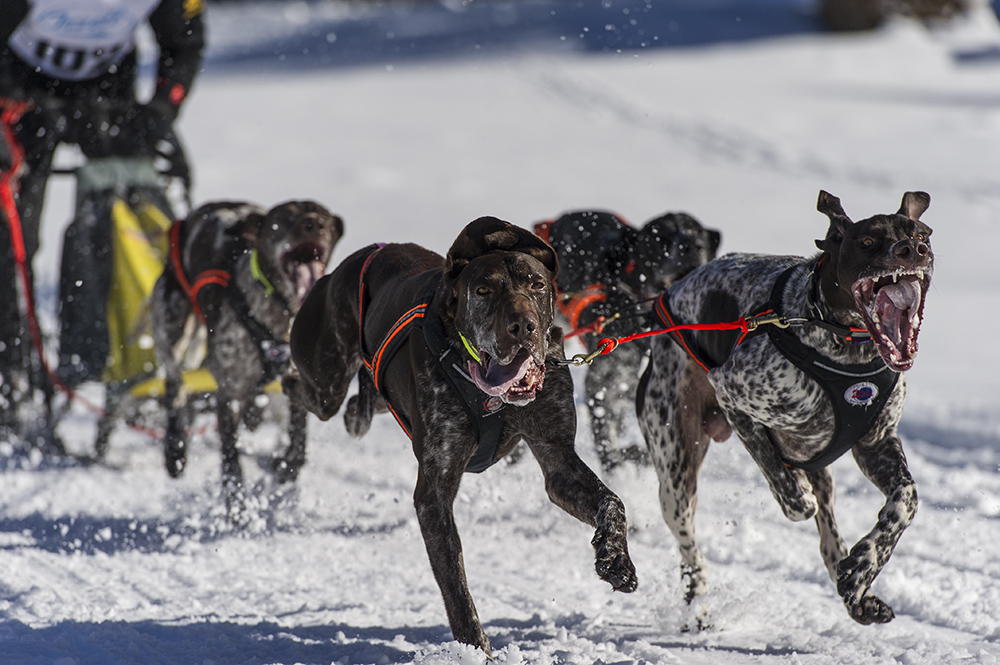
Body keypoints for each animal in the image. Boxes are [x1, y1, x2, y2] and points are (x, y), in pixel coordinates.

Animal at [151, 200, 344, 510]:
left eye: (322, 216)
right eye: (285, 218)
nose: (314, 224)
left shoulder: (301, 383)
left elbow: (298, 443)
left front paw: (285, 465)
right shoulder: (228, 393)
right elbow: (231, 461)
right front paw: (237, 508)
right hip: (172, 331)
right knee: (174, 387)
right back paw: (175, 449)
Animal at [282, 217, 640, 652]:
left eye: (536, 284)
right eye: (483, 290)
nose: (523, 326)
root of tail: (359, 257)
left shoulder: (557, 457)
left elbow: (611, 501)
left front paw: (616, 559)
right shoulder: (434, 492)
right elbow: (454, 578)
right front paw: (475, 646)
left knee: (362, 402)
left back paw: (356, 411)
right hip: (325, 381)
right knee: (300, 387)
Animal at [636, 189, 932, 624]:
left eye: (922, 233)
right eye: (866, 241)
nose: (913, 250)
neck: (848, 350)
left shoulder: (875, 443)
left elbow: (905, 501)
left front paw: (862, 568)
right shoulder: (732, 394)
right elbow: (785, 486)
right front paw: (797, 495)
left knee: (828, 541)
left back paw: (857, 596)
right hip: (675, 471)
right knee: (690, 546)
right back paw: (698, 596)